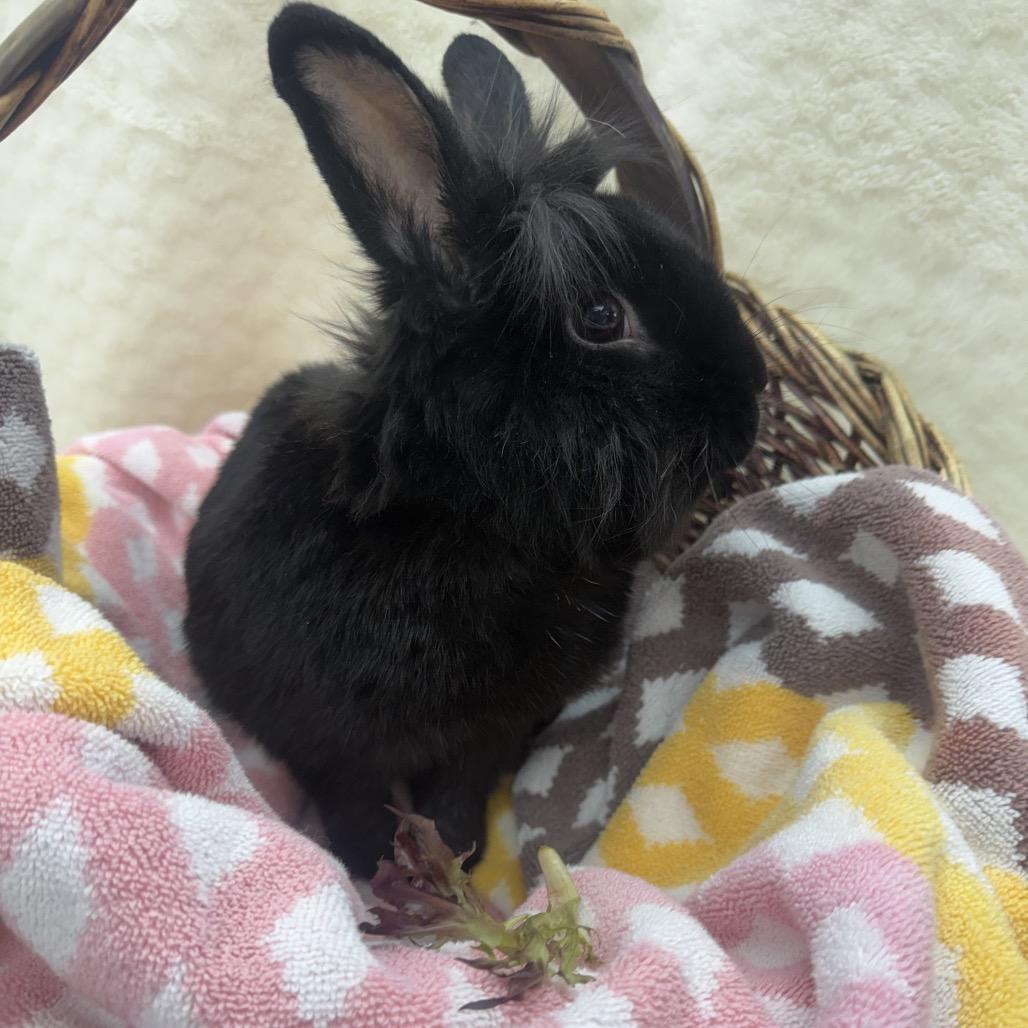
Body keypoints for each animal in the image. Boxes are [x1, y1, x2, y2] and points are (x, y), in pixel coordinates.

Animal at [184, 1, 766, 879]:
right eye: (602, 318)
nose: (752, 403)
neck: (471, 516)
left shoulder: (494, 731)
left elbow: (461, 788)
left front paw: (457, 855)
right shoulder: (326, 741)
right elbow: (352, 795)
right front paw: (370, 872)